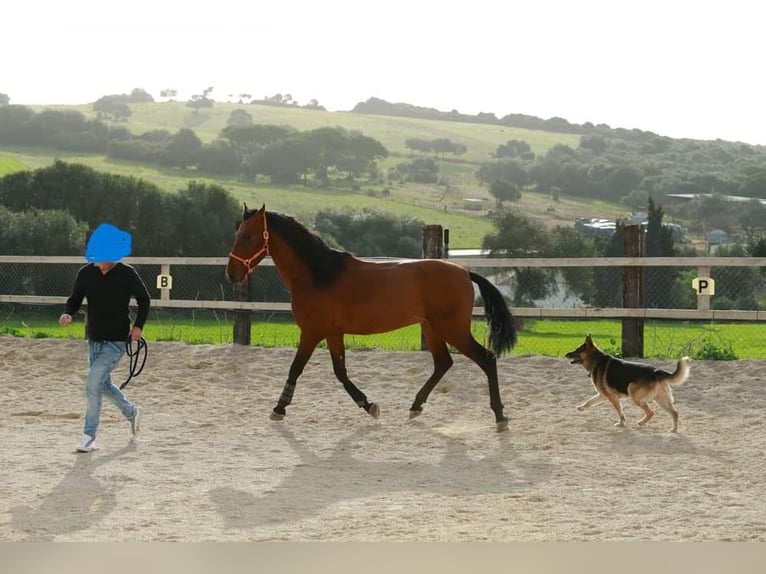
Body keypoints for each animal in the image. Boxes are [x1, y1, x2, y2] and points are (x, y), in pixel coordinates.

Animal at [226, 204, 518, 431]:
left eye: (249, 236)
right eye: (237, 234)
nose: (232, 274)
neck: (318, 275)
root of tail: (465, 272)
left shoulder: (311, 332)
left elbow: (296, 368)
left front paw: (278, 408)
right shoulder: (333, 332)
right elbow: (340, 372)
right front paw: (369, 405)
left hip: (452, 329)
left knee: (487, 358)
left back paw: (500, 417)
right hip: (431, 328)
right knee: (443, 363)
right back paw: (415, 406)